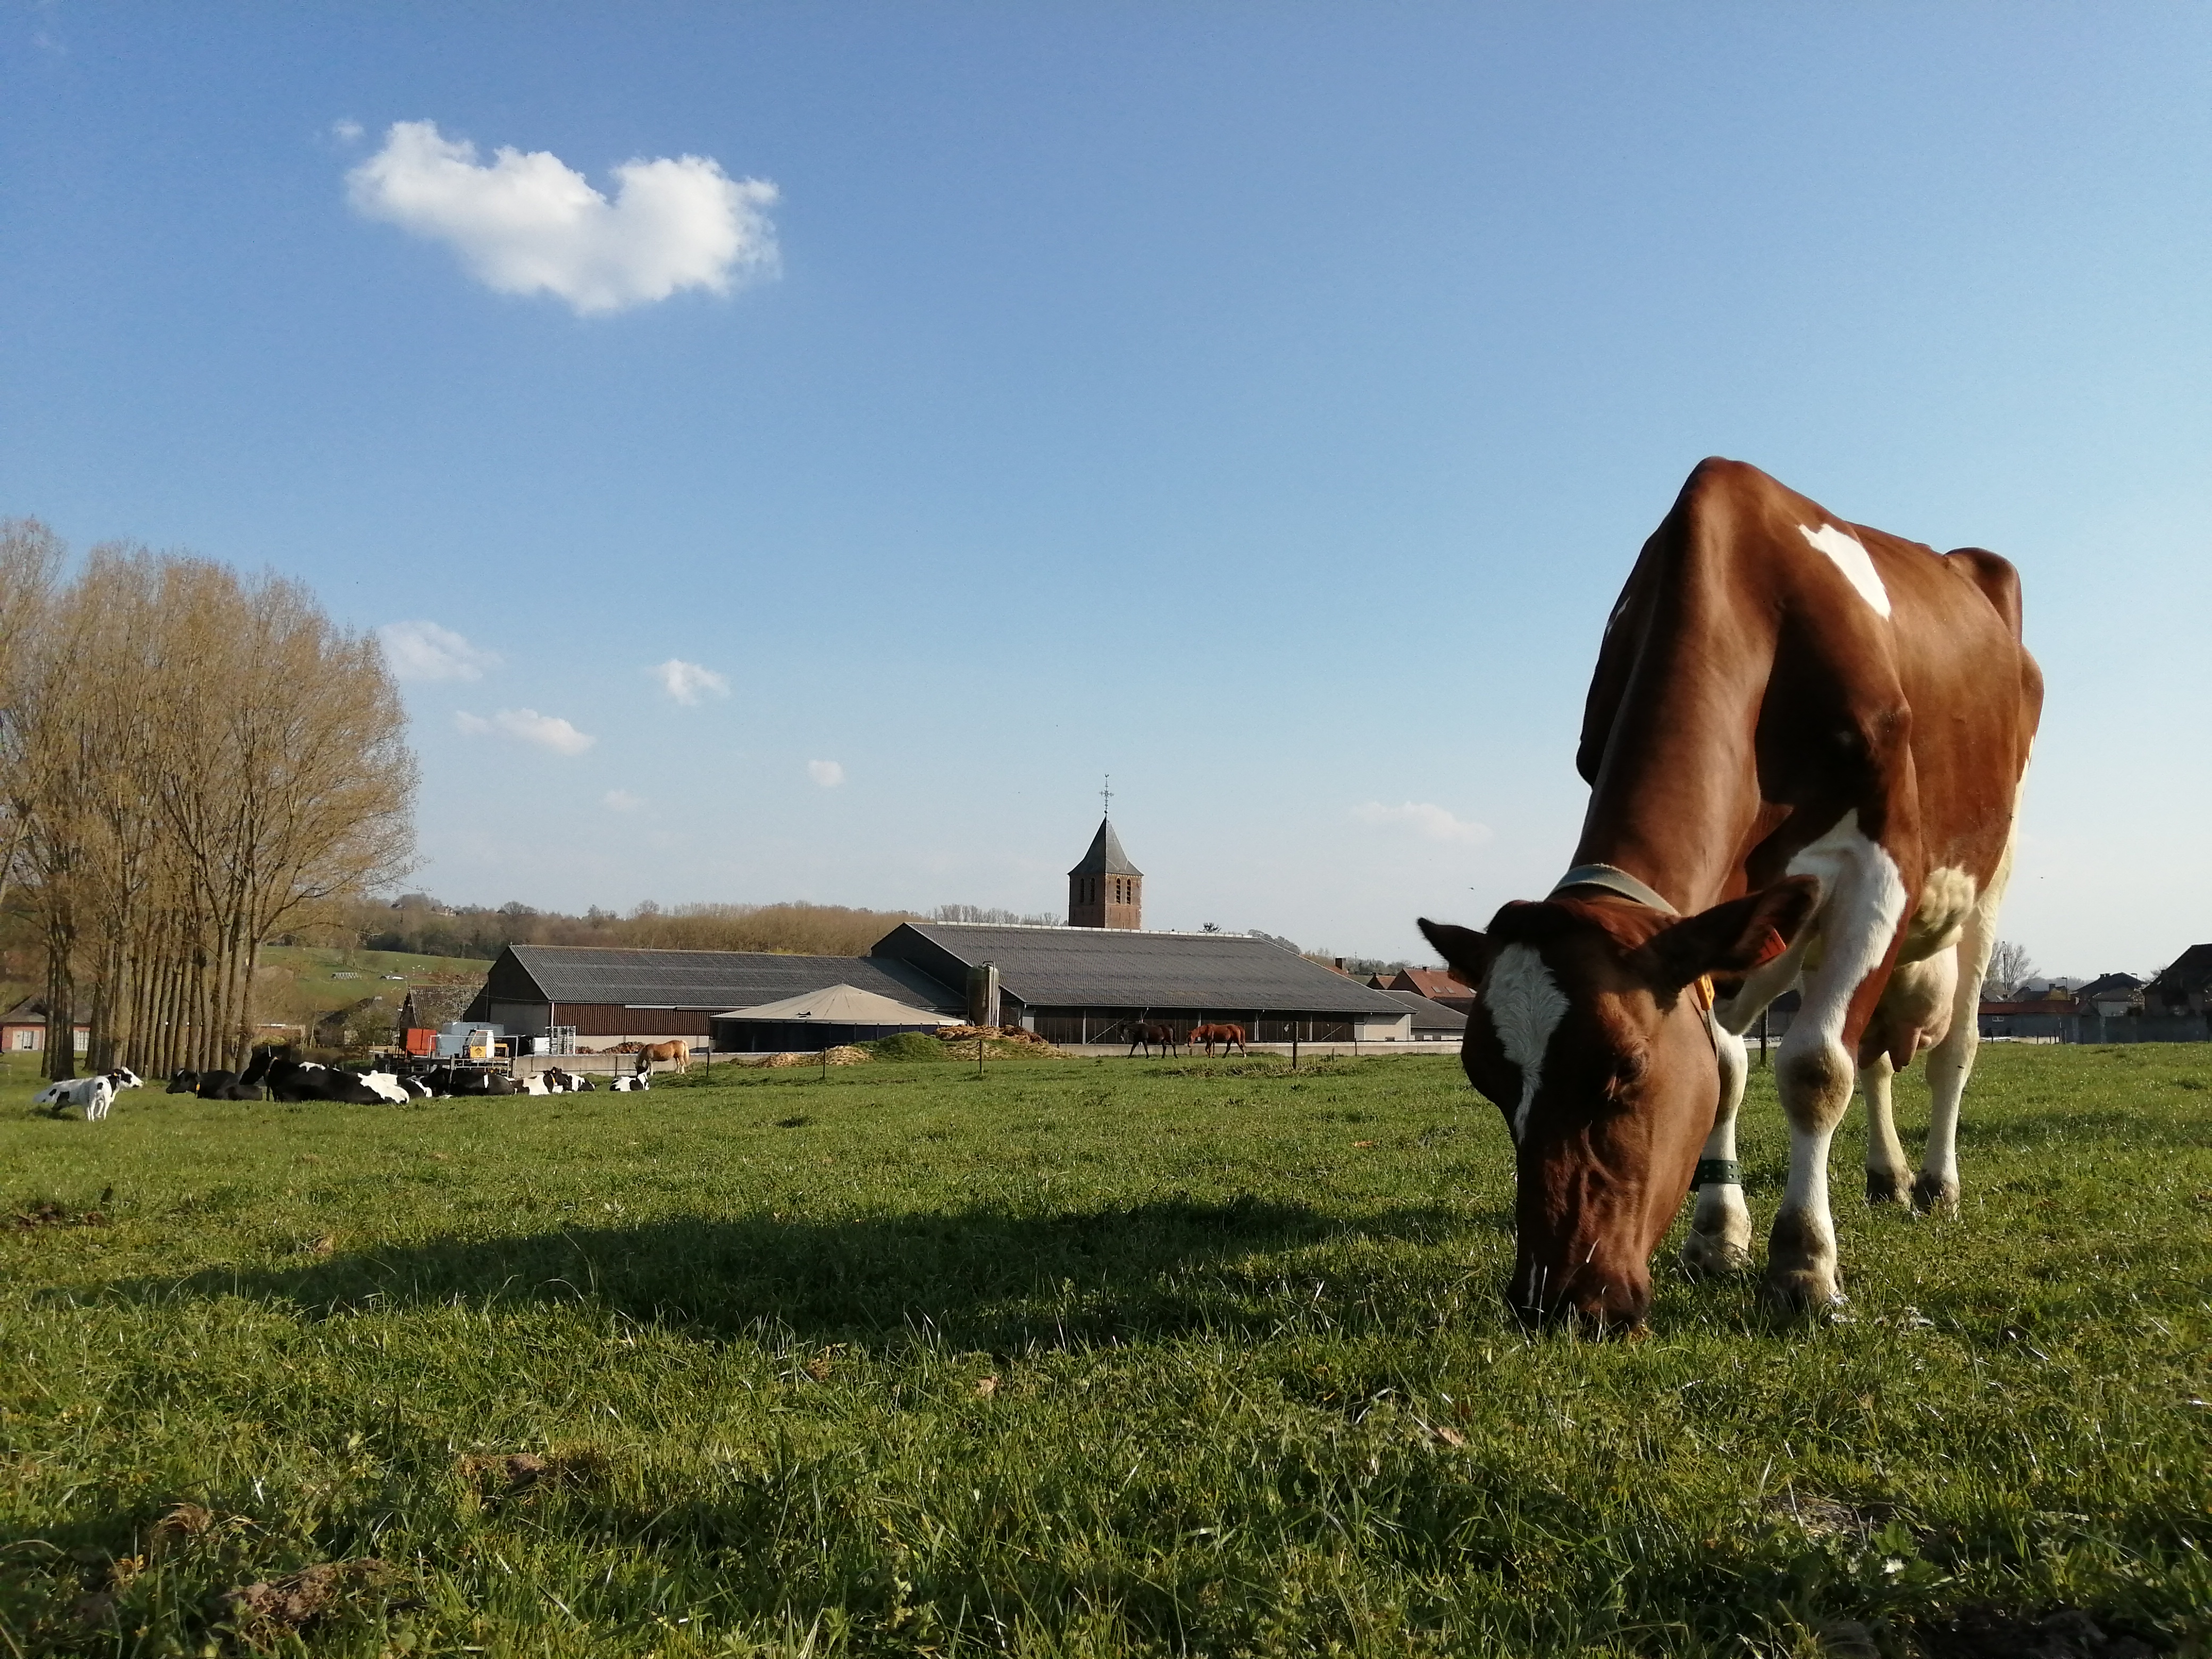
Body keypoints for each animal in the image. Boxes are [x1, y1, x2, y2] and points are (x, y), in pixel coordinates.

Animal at [1417, 458, 2041, 1329]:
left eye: (1625, 1068)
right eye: (1484, 1077)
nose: (1555, 1301)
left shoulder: (1886, 863)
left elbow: (1815, 1067)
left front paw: (1803, 1266)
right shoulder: (1724, 915)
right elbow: (1727, 1068)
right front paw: (1716, 1236)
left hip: (1987, 878)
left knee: (1952, 1047)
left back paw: (1934, 1185)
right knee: (1875, 1056)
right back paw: (1884, 1177)